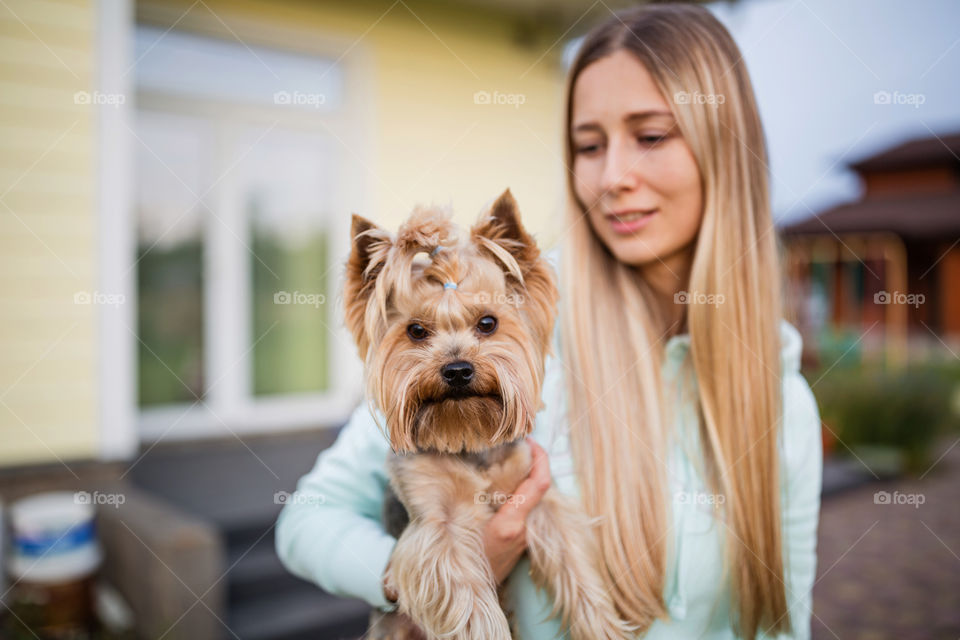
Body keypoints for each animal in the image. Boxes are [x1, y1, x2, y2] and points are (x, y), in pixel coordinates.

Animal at [344, 190, 632, 640]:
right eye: (416, 331)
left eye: (488, 322)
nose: (457, 370)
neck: (468, 438)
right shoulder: (437, 527)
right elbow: (467, 599)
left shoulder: (537, 499)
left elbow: (577, 565)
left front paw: (603, 627)